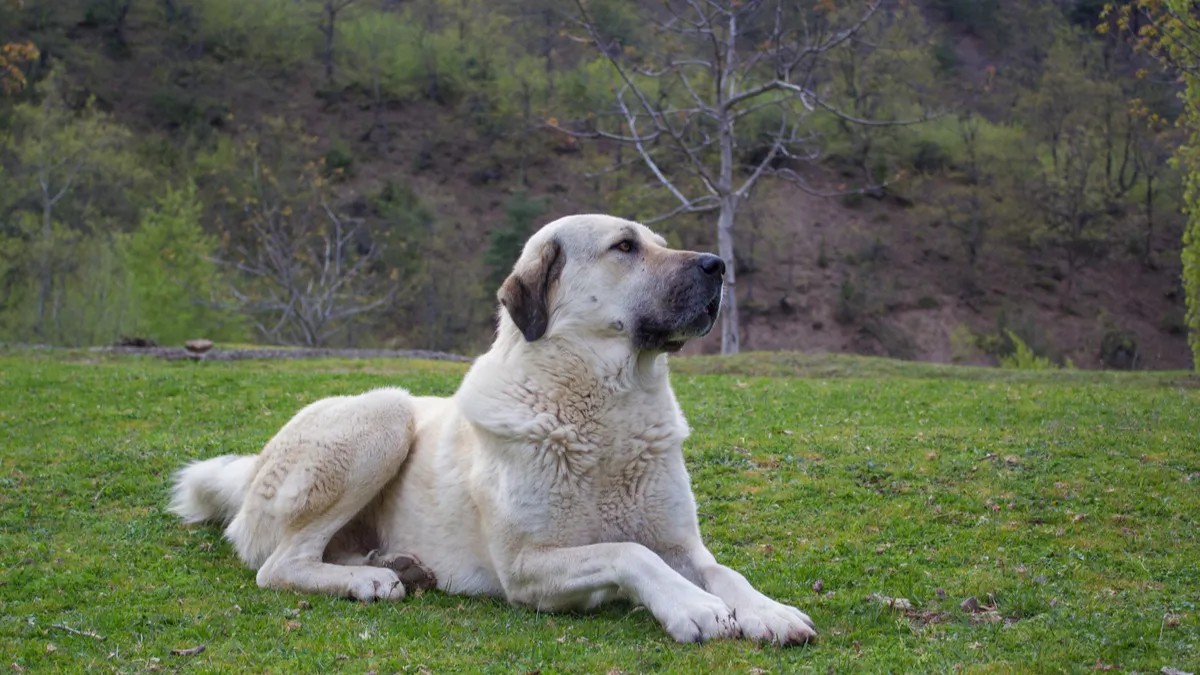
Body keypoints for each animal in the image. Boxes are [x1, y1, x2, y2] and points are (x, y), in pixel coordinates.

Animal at [169, 212, 816, 643]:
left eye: (658, 243)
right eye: (626, 246)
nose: (718, 265)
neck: (608, 408)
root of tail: (253, 467)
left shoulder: (681, 542)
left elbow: (722, 569)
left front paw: (768, 610)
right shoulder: (527, 566)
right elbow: (630, 552)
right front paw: (692, 607)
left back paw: (392, 566)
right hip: (385, 414)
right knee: (280, 564)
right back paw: (369, 581)